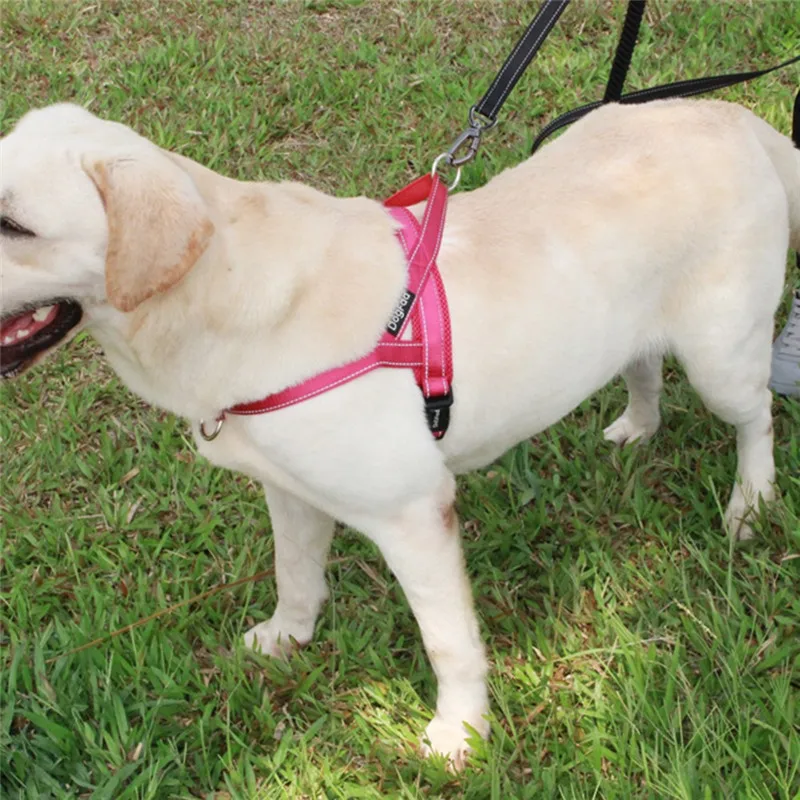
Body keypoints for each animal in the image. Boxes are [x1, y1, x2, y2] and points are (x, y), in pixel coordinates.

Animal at [1, 100, 800, 768]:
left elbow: (449, 642)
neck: (216, 298)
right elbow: (295, 575)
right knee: (643, 368)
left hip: (720, 356)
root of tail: (740, 118)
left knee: (756, 414)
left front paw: (461, 735)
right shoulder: (291, 492)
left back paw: (751, 504)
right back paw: (637, 426)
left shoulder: (414, 513)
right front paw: (286, 640)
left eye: (15, 226)